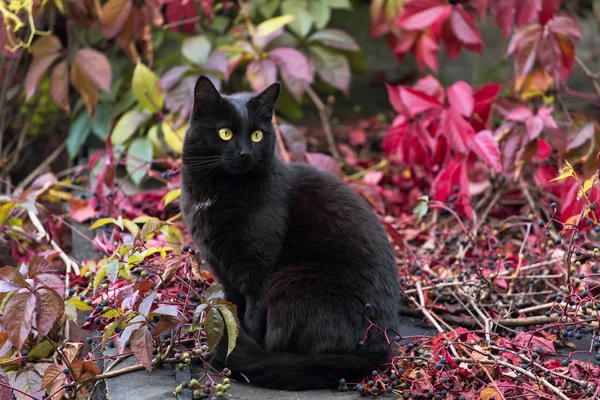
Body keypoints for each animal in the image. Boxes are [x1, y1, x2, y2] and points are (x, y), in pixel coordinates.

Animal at [180, 76, 400, 390]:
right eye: (225, 133)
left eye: (257, 135)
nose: (245, 152)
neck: (219, 191)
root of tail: (380, 346)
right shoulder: (225, 272)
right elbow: (235, 311)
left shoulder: (259, 273)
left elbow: (252, 319)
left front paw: (239, 350)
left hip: (292, 282)